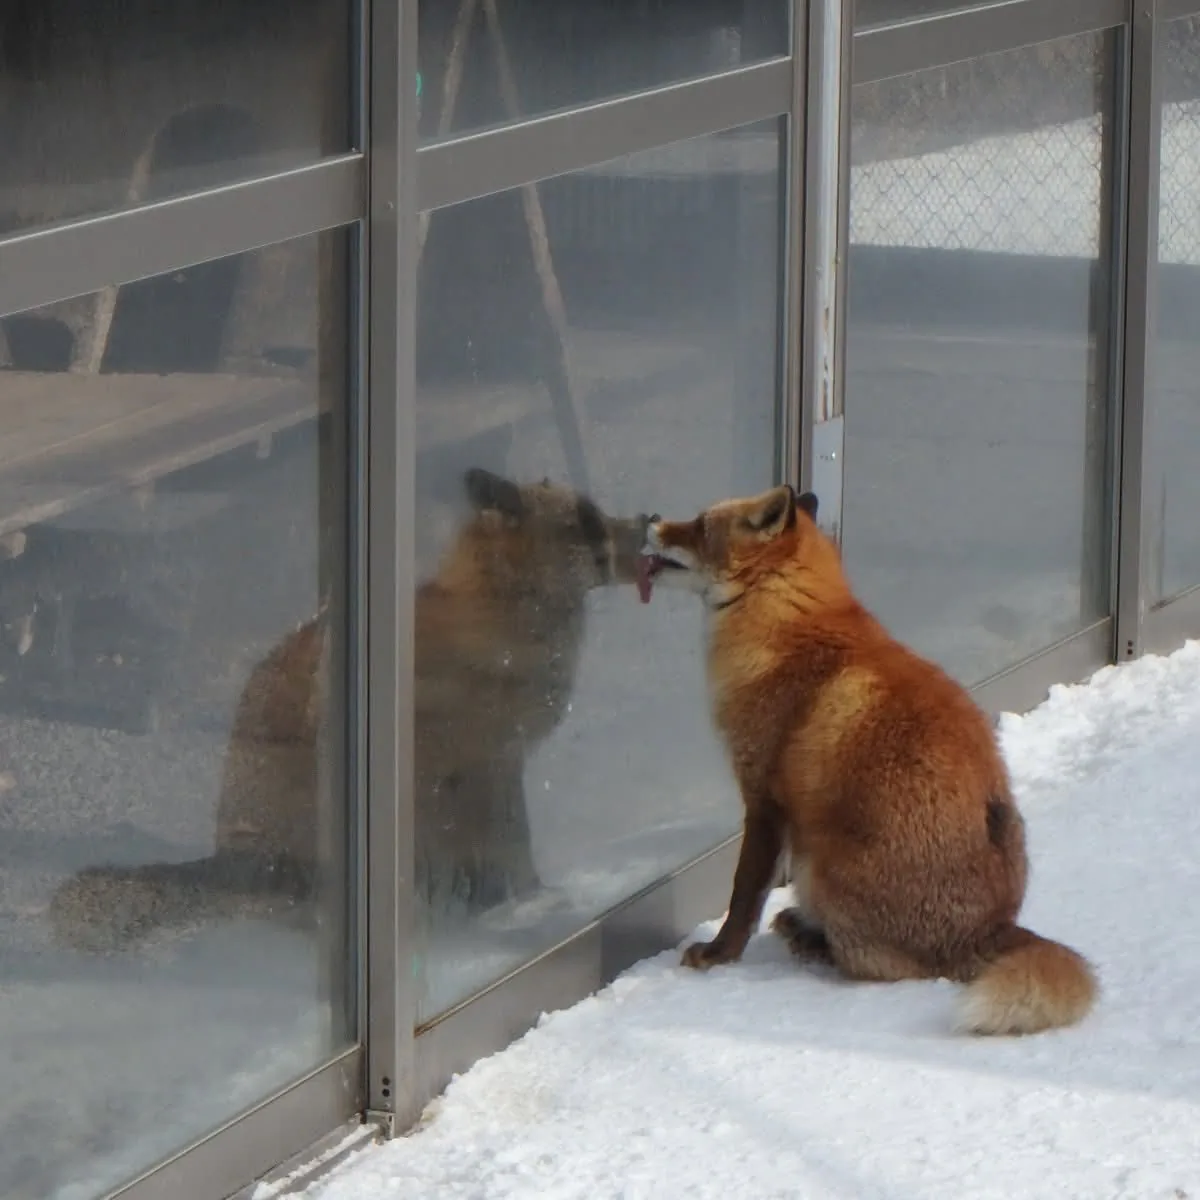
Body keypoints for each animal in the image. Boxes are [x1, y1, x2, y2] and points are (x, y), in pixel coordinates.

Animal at [49, 467, 650, 949]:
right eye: (586, 522)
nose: (647, 519)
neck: (503, 619)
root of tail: (233, 861)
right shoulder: (484, 768)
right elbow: (512, 855)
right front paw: (529, 909)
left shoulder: (496, 768)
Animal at [638, 483, 1097, 1036]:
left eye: (700, 526)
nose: (650, 518)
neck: (787, 623)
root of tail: (992, 928)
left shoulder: (763, 799)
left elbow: (743, 894)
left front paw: (717, 955)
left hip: (821, 865)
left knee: (884, 968)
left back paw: (810, 940)